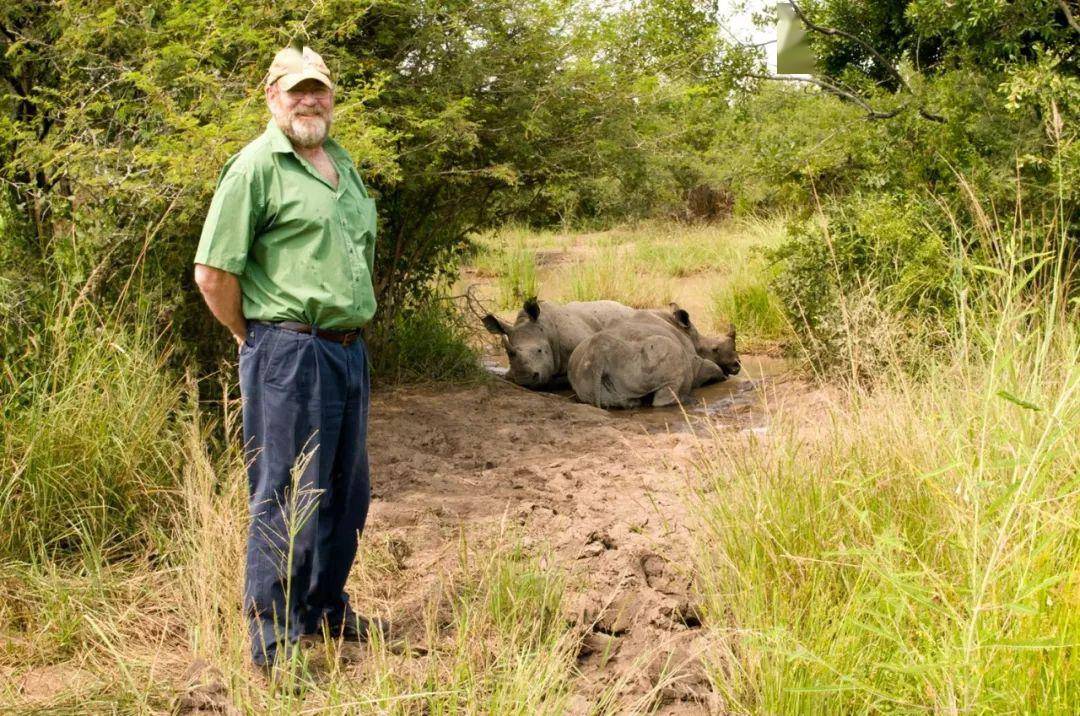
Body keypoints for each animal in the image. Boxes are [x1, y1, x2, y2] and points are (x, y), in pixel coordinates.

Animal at [570, 306, 738, 408]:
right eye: (715, 349)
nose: (737, 365)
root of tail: (598, 355)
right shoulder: (696, 362)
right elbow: (711, 367)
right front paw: (722, 377)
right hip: (647, 357)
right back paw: (688, 401)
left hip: (583, 372)